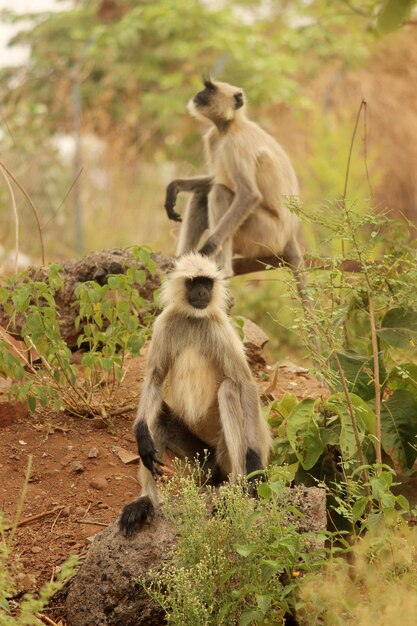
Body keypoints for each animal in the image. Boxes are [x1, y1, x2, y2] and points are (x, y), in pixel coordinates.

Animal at [118, 251, 272, 532]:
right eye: (193, 283)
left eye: (206, 283)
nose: (202, 292)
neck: (193, 319)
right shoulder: (164, 322)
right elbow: (154, 380)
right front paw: (141, 435)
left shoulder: (220, 327)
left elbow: (244, 384)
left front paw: (255, 465)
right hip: (200, 462)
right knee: (158, 415)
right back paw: (146, 501)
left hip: (222, 456)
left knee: (229, 389)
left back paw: (236, 491)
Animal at [164, 77, 304, 290]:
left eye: (210, 89)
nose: (198, 94)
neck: (230, 126)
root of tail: (290, 235)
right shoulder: (213, 137)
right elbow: (215, 178)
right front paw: (174, 187)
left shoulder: (236, 144)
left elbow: (249, 194)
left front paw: (208, 248)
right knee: (202, 195)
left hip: (265, 235)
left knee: (220, 192)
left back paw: (223, 270)